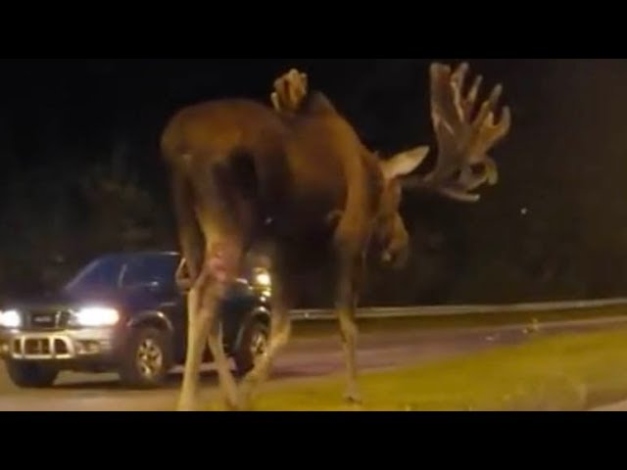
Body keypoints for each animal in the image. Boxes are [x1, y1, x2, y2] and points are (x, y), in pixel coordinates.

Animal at [159, 60, 512, 410]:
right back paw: (190, 400)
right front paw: (352, 392)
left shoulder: (282, 252)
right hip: (234, 220)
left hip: (190, 223)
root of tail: (177, 141)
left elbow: (281, 326)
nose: (401, 246)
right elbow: (342, 324)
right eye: (395, 198)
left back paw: (223, 393)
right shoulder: (347, 239)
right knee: (203, 294)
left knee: (201, 298)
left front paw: (242, 393)